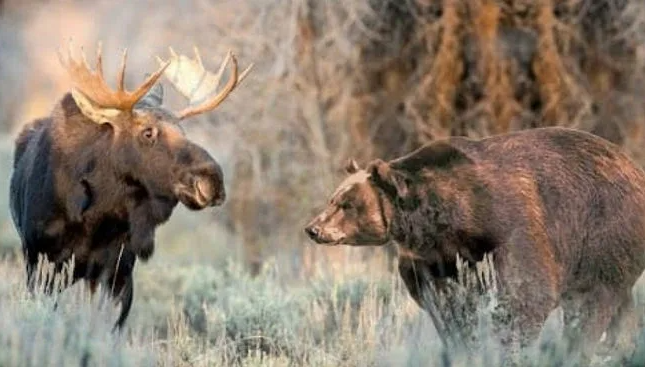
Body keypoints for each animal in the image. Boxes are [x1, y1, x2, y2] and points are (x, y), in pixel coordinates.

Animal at [9, 42, 254, 330]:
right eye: (148, 132)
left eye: (183, 131)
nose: (212, 180)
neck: (95, 219)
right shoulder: (42, 262)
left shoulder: (118, 270)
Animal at [304, 126, 644, 366]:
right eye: (333, 198)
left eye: (346, 204)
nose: (313, 228)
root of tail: (633, 165)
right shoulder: (434, 260)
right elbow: (447, 308)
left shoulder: (510, 228)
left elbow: (527, 293)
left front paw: (511, 348)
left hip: (604, 233)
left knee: (594, 302)